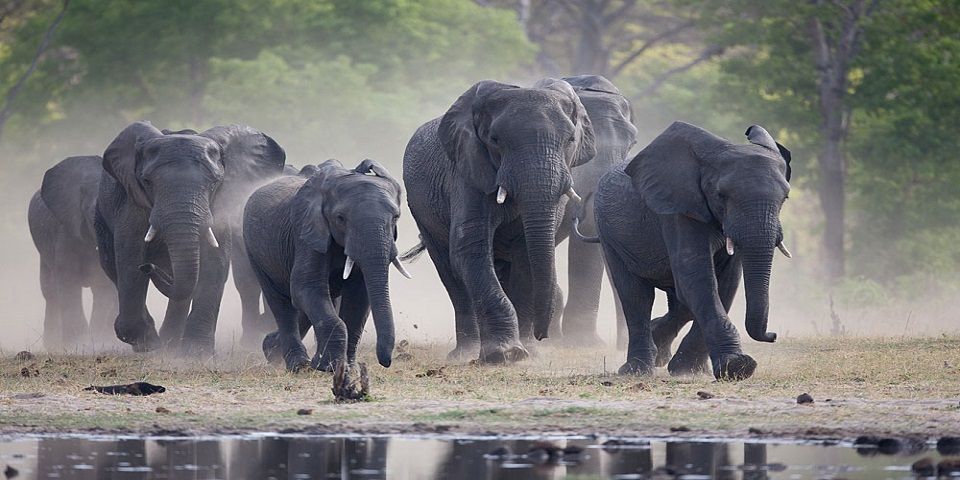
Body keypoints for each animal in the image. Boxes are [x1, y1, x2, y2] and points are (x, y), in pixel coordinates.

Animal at [28, 155, 118, 349]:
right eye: (92, 217)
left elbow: (102, 286)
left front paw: (97, 342)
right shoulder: (65, 230)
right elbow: (68, 282)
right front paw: (78, 343)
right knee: (50, 292)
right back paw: (53, 345)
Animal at [94, 121, 286, 353]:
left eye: (215, 183)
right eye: (147, 182)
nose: (148, 267)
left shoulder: (219, 204)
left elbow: (215, 261)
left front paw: (197, 352)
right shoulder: (132, 202)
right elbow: (130, 257)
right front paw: (147, 344)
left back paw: (171, 343)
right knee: (112, 266)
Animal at [243, 159, 407, 372]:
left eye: (396, 217)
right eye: (340, 218)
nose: (386, 362)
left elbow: (358, 297)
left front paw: (347, 368)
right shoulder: (306, 232)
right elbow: (305, 287)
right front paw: (328, 367)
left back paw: (273, 350)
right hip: (254, 251)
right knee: (281, 304)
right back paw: (296, 364)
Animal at [402, 79, 597, 363]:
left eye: (571, 139)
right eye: (495, 140)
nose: (543, 335)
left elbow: (527, 256)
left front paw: (529, 354)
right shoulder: (466, 170)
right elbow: (470, 250)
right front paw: (504, 354)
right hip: (421, 213)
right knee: (450, 273)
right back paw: (465, 354)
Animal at [579, 122, 792, 380]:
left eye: (785, 198)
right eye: (721, 195)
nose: (773, 335)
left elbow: (725, 283)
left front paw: (689, 370)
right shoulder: (676, 209)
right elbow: (698, 278)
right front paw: (737, 367)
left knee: (677, 300)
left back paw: (659, 350)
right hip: (608, 233)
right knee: (635, 295)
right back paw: (637, 370)